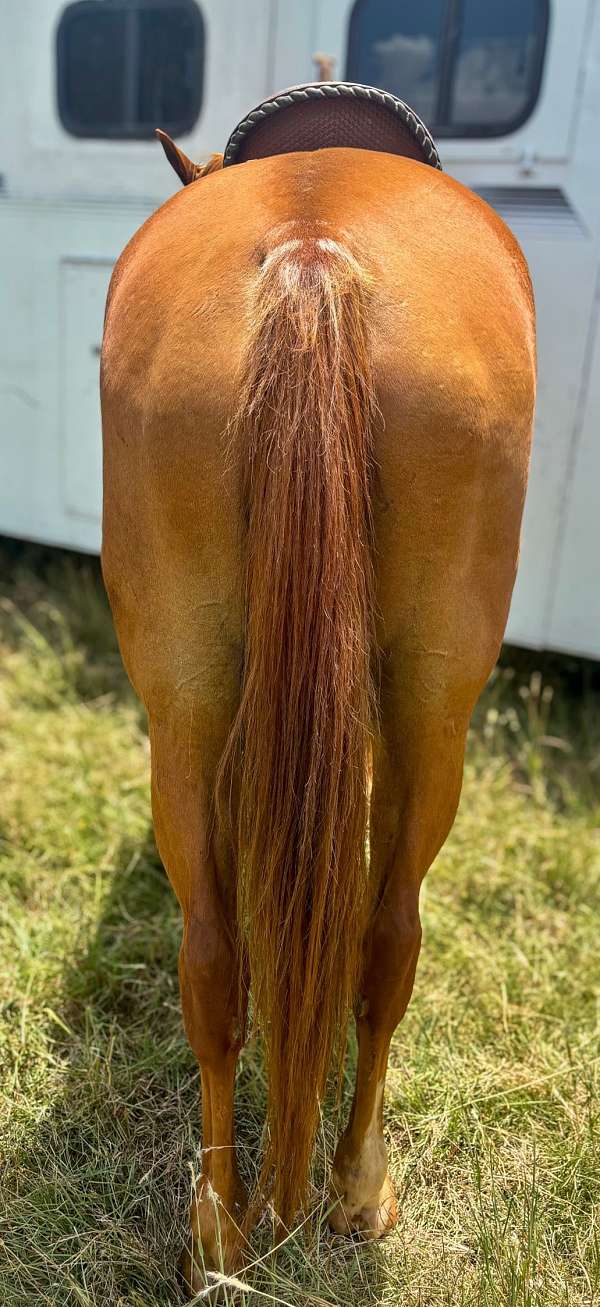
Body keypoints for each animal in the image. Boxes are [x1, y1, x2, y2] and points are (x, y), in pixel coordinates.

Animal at [101, 118, 535, 1290]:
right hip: (427, 697)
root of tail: (312, 251)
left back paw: (223, 1226)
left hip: (194, 693)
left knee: (225, 957)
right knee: (381, 937)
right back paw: (351, 1189)